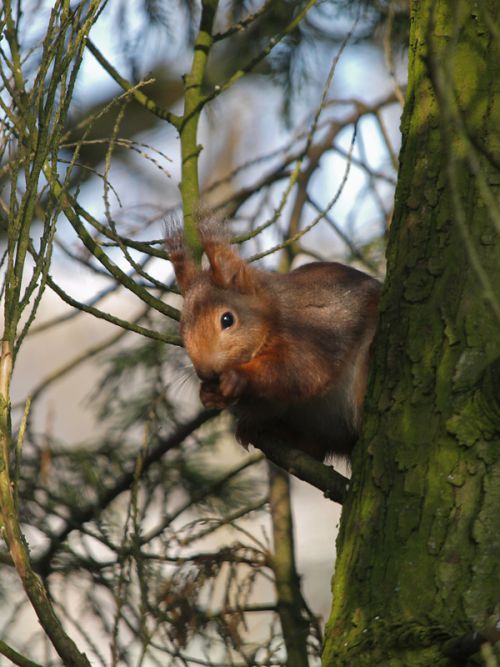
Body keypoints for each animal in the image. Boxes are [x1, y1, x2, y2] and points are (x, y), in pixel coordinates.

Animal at [166, 223, 380, 460]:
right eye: (181, 331)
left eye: (227, 319)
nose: (206, 373)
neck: (273, 313)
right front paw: (210, 394)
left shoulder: (314, 329)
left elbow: (301, 369)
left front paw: (239, 376)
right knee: (313, 448)